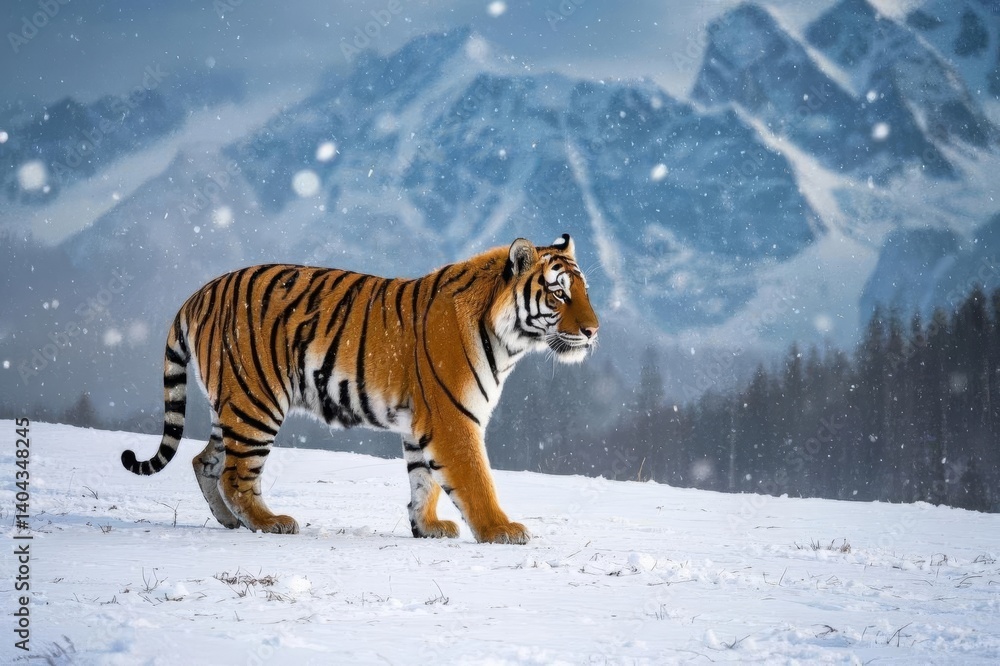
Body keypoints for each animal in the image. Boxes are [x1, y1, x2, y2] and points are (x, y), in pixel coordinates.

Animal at [121, 234, 599, 544]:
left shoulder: (422, 422)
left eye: (585, 292)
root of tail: (197, 295)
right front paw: (501, 530)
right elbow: (475, 479)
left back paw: (228, 520)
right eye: (558, 294)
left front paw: (427, 527)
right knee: (236, 475)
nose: (594, 331)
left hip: (231, 404)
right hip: (255, 402)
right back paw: (270, 522)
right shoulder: (453, 417)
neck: (509, 342)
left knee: (204, 461)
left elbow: (423, 480)